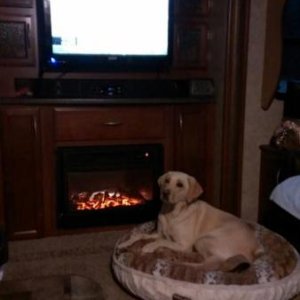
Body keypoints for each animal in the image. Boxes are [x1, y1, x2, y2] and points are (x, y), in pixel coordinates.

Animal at [118, 171, 262, 272]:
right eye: (167, 180)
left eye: (180, 185)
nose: (165, 193)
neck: (172, 213)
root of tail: (254, 251)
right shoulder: (158, 233)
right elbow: (139, 235)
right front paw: (125, 243)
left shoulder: (183, 243)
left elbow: (161, 241)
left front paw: (148, 246)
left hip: (204, 240)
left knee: (208, 263)